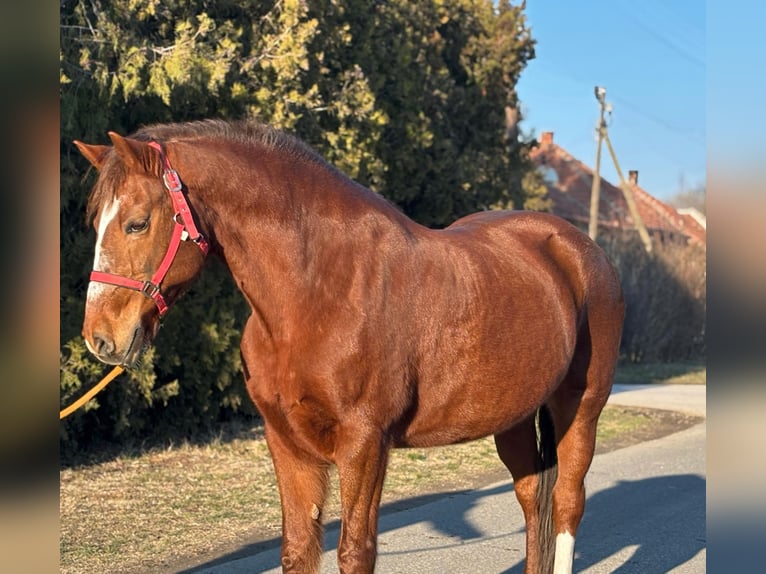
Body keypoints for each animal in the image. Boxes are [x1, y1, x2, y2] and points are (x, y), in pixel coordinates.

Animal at [73, 119, 624, 572]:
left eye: (137, 222)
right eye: (95, 223)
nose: (101, 338)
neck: (318, 292)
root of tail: (579, 248)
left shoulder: (364, 444)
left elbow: (356, 552)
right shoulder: (287, 442)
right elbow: (298, 550)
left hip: (581, 407)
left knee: (568, 502)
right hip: (511, 415)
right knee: (532, 499)